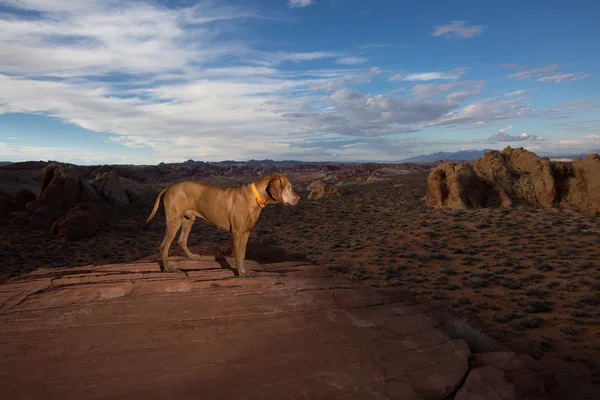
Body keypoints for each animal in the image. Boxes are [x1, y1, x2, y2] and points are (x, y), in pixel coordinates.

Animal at [146, 172, 300, 276]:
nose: (299, 198)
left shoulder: (245, 233)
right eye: (289, 187)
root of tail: (169, 187)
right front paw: (241, 274)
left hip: (188, 219)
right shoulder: (237, 233)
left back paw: (192, 257)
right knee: (164, 246)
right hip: (174, 221)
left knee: (181, 241)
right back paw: (168, 268)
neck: (255, 197)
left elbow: (242, 255)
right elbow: (238, 255)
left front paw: (244, 271)